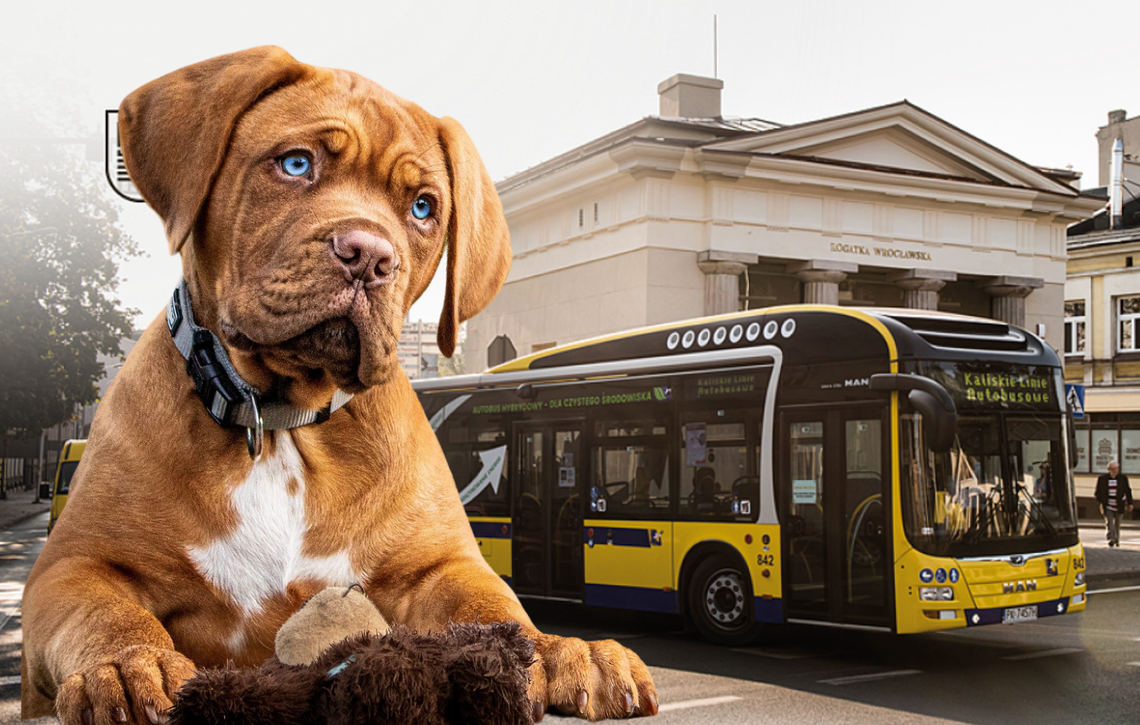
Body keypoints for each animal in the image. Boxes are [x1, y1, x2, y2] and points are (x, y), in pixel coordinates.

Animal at [20, 46, 661, 725]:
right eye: (296, 163)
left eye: (423, 208)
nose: (370, 256)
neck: (281, 419)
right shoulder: (73, 565)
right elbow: (101, 613)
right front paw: (127, 663)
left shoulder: (438, 567)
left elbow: (494, 604)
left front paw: (557, 649)